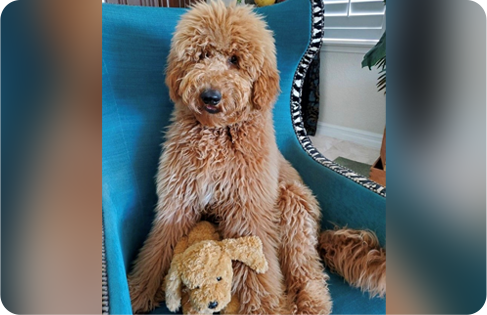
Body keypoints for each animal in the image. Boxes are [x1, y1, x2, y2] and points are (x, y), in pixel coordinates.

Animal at [127, 1, 386, 314]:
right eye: (202, 55)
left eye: (235, 60)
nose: (210, 96)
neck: (217, 135)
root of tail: (320, 233)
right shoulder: (178, 202)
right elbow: (157, 251)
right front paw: (137, 292)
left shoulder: (249, 208)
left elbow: (258, 270)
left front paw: (263, 308)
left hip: (293, 204)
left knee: (307, 270)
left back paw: (310, 302)